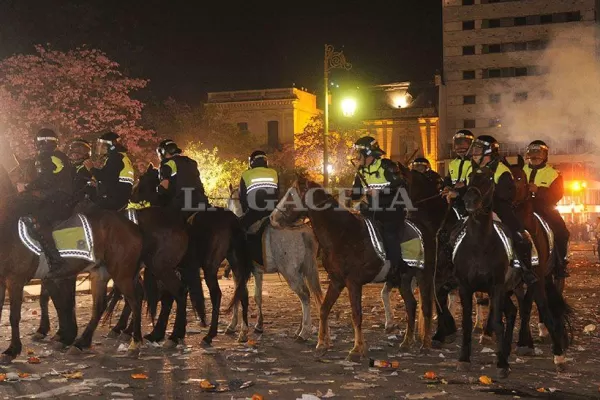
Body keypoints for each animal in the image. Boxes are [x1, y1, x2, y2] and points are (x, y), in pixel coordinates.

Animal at [226, 185, 322, 340]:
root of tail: (303, 231)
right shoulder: (257, 272)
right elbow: (257, 296)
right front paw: (259, 325)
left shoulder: (238, 271)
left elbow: (239, 295)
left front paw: (237, 328)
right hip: (303, 271)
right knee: (306, 296)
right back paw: (300, 329)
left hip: (290, 273)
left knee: (304, 295)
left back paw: (304, 332)